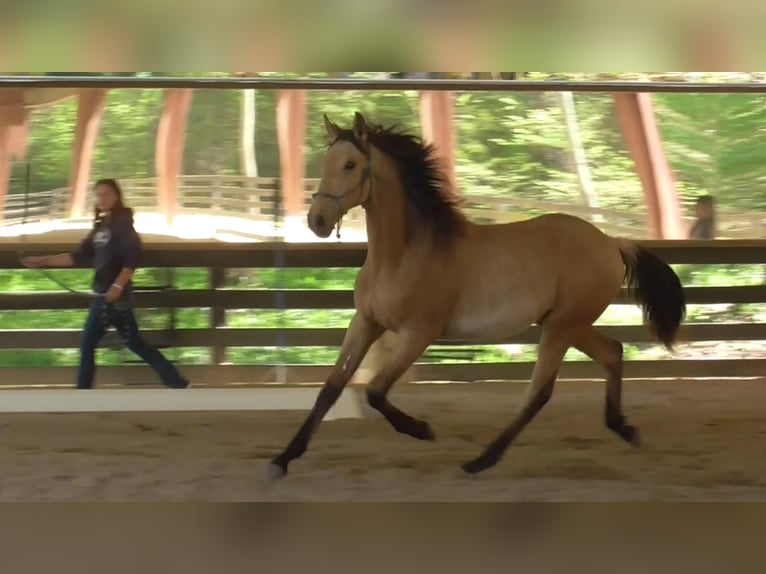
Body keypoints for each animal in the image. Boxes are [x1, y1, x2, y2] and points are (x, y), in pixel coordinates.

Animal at [267, 111, 686, 480]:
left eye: (351, 165)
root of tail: (611, 243)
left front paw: (423, 429)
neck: (404, 254)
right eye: (327, 162)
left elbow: (374, 391)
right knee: (612, 353)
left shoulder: (419, 333)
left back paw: (480, 461)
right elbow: (330, 389)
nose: (317, 221)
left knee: (539, 391)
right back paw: (624, 429)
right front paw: (282, 460)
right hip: (569, 323)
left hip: (563, 326)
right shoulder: (366, 322)